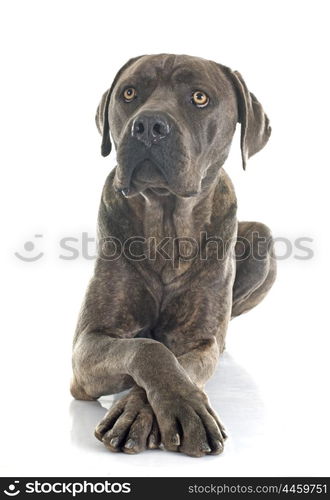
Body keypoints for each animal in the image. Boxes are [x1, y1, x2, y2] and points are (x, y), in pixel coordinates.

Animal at [71, 53, 278, 458]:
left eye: (199, 98)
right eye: (129, 93)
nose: (149, 126)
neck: (166, 226)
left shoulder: (199, 343)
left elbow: (181, 364)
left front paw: (145, 410)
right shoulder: (87, 345)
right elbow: (148, 348)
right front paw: (178, 408)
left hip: (262, 239)